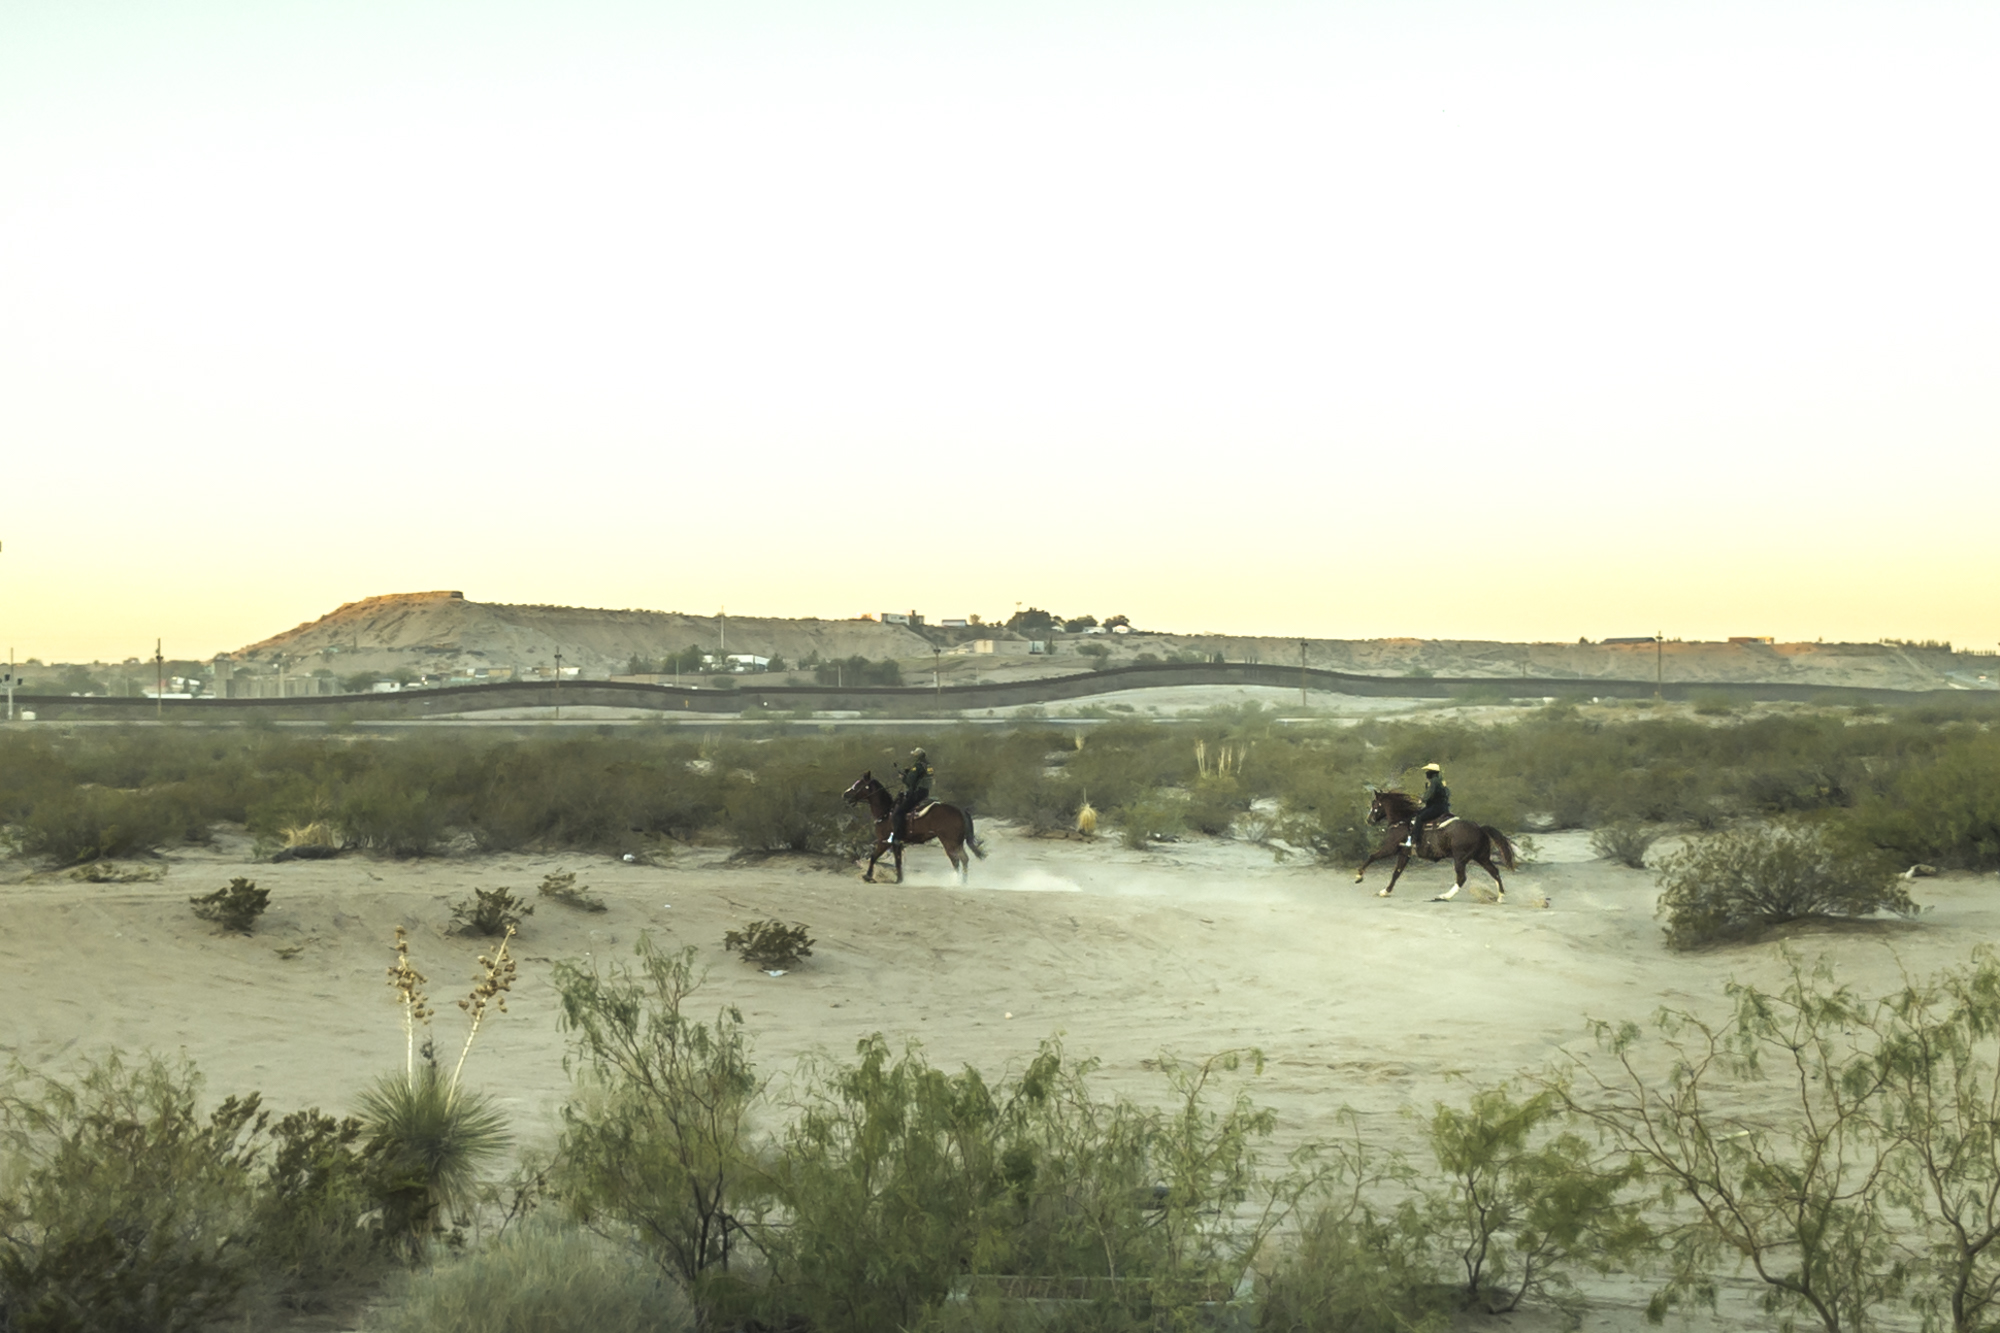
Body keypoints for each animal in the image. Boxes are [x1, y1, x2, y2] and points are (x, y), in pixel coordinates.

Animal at [840, 768, 988, 880]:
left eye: (858, 784)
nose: (845, 795)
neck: (887, 812)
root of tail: (960, 810)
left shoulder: (885, 841)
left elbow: (874, 857)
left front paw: (868, 876)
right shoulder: (897, 844)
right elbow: (898, 862)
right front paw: (899, 879)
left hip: (949, 841)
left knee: (959, 859)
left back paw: (959, 881)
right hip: (957, 841)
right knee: (960, 860)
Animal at [1360, 784, 1512, 896]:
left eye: (1375, 804)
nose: (1368, 820)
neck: (1402, 821)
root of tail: (1479, 828)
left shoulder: (1390, 848)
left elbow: (1372, 856)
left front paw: (1359, 876)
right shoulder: (1404, 854)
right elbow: (1396, 873)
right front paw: (1385, 891)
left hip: (1460, 859)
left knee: (1461, 878)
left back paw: (1444, 896)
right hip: (1481, 857)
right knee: (1494, 871)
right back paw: (1500, 896)